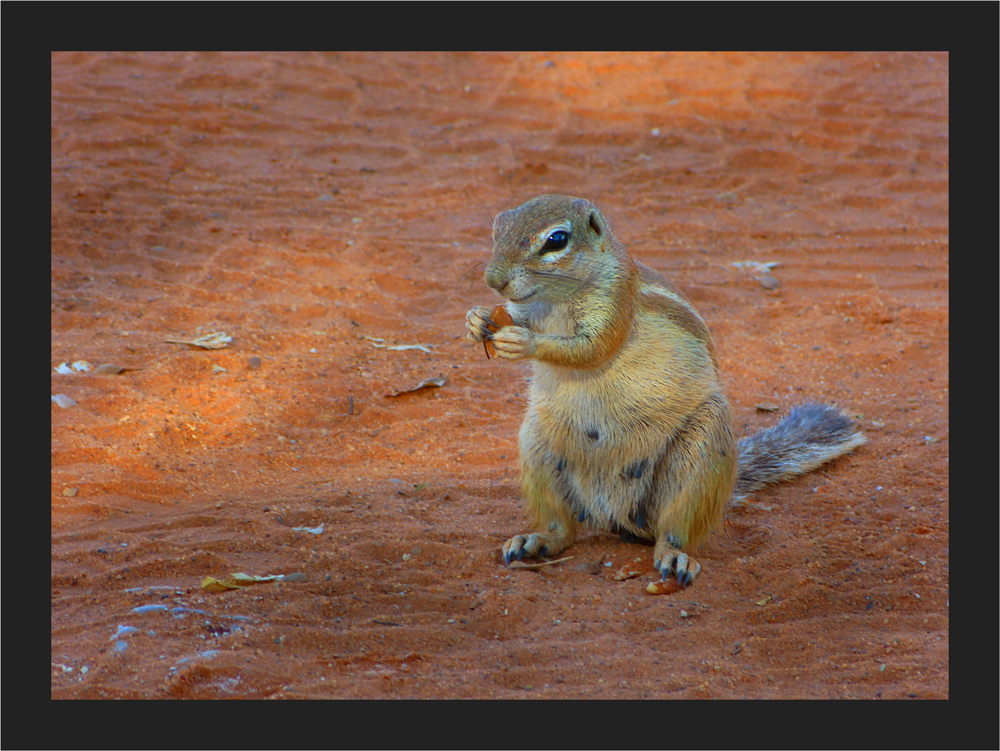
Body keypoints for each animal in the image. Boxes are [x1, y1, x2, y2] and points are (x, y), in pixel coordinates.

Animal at [468, 195, 868, 588]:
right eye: (497, 228)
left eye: (556, 240)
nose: (493, 280)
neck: (554, 299)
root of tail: (613, 514)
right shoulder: (523, 309)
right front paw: (477, 319)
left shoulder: (616, 302)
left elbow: (591, 348)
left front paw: (524, 341)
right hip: (537, 445)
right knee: (562, 528)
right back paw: (535, 541)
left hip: (701, 451)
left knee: (674, 529)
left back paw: (674, 557)